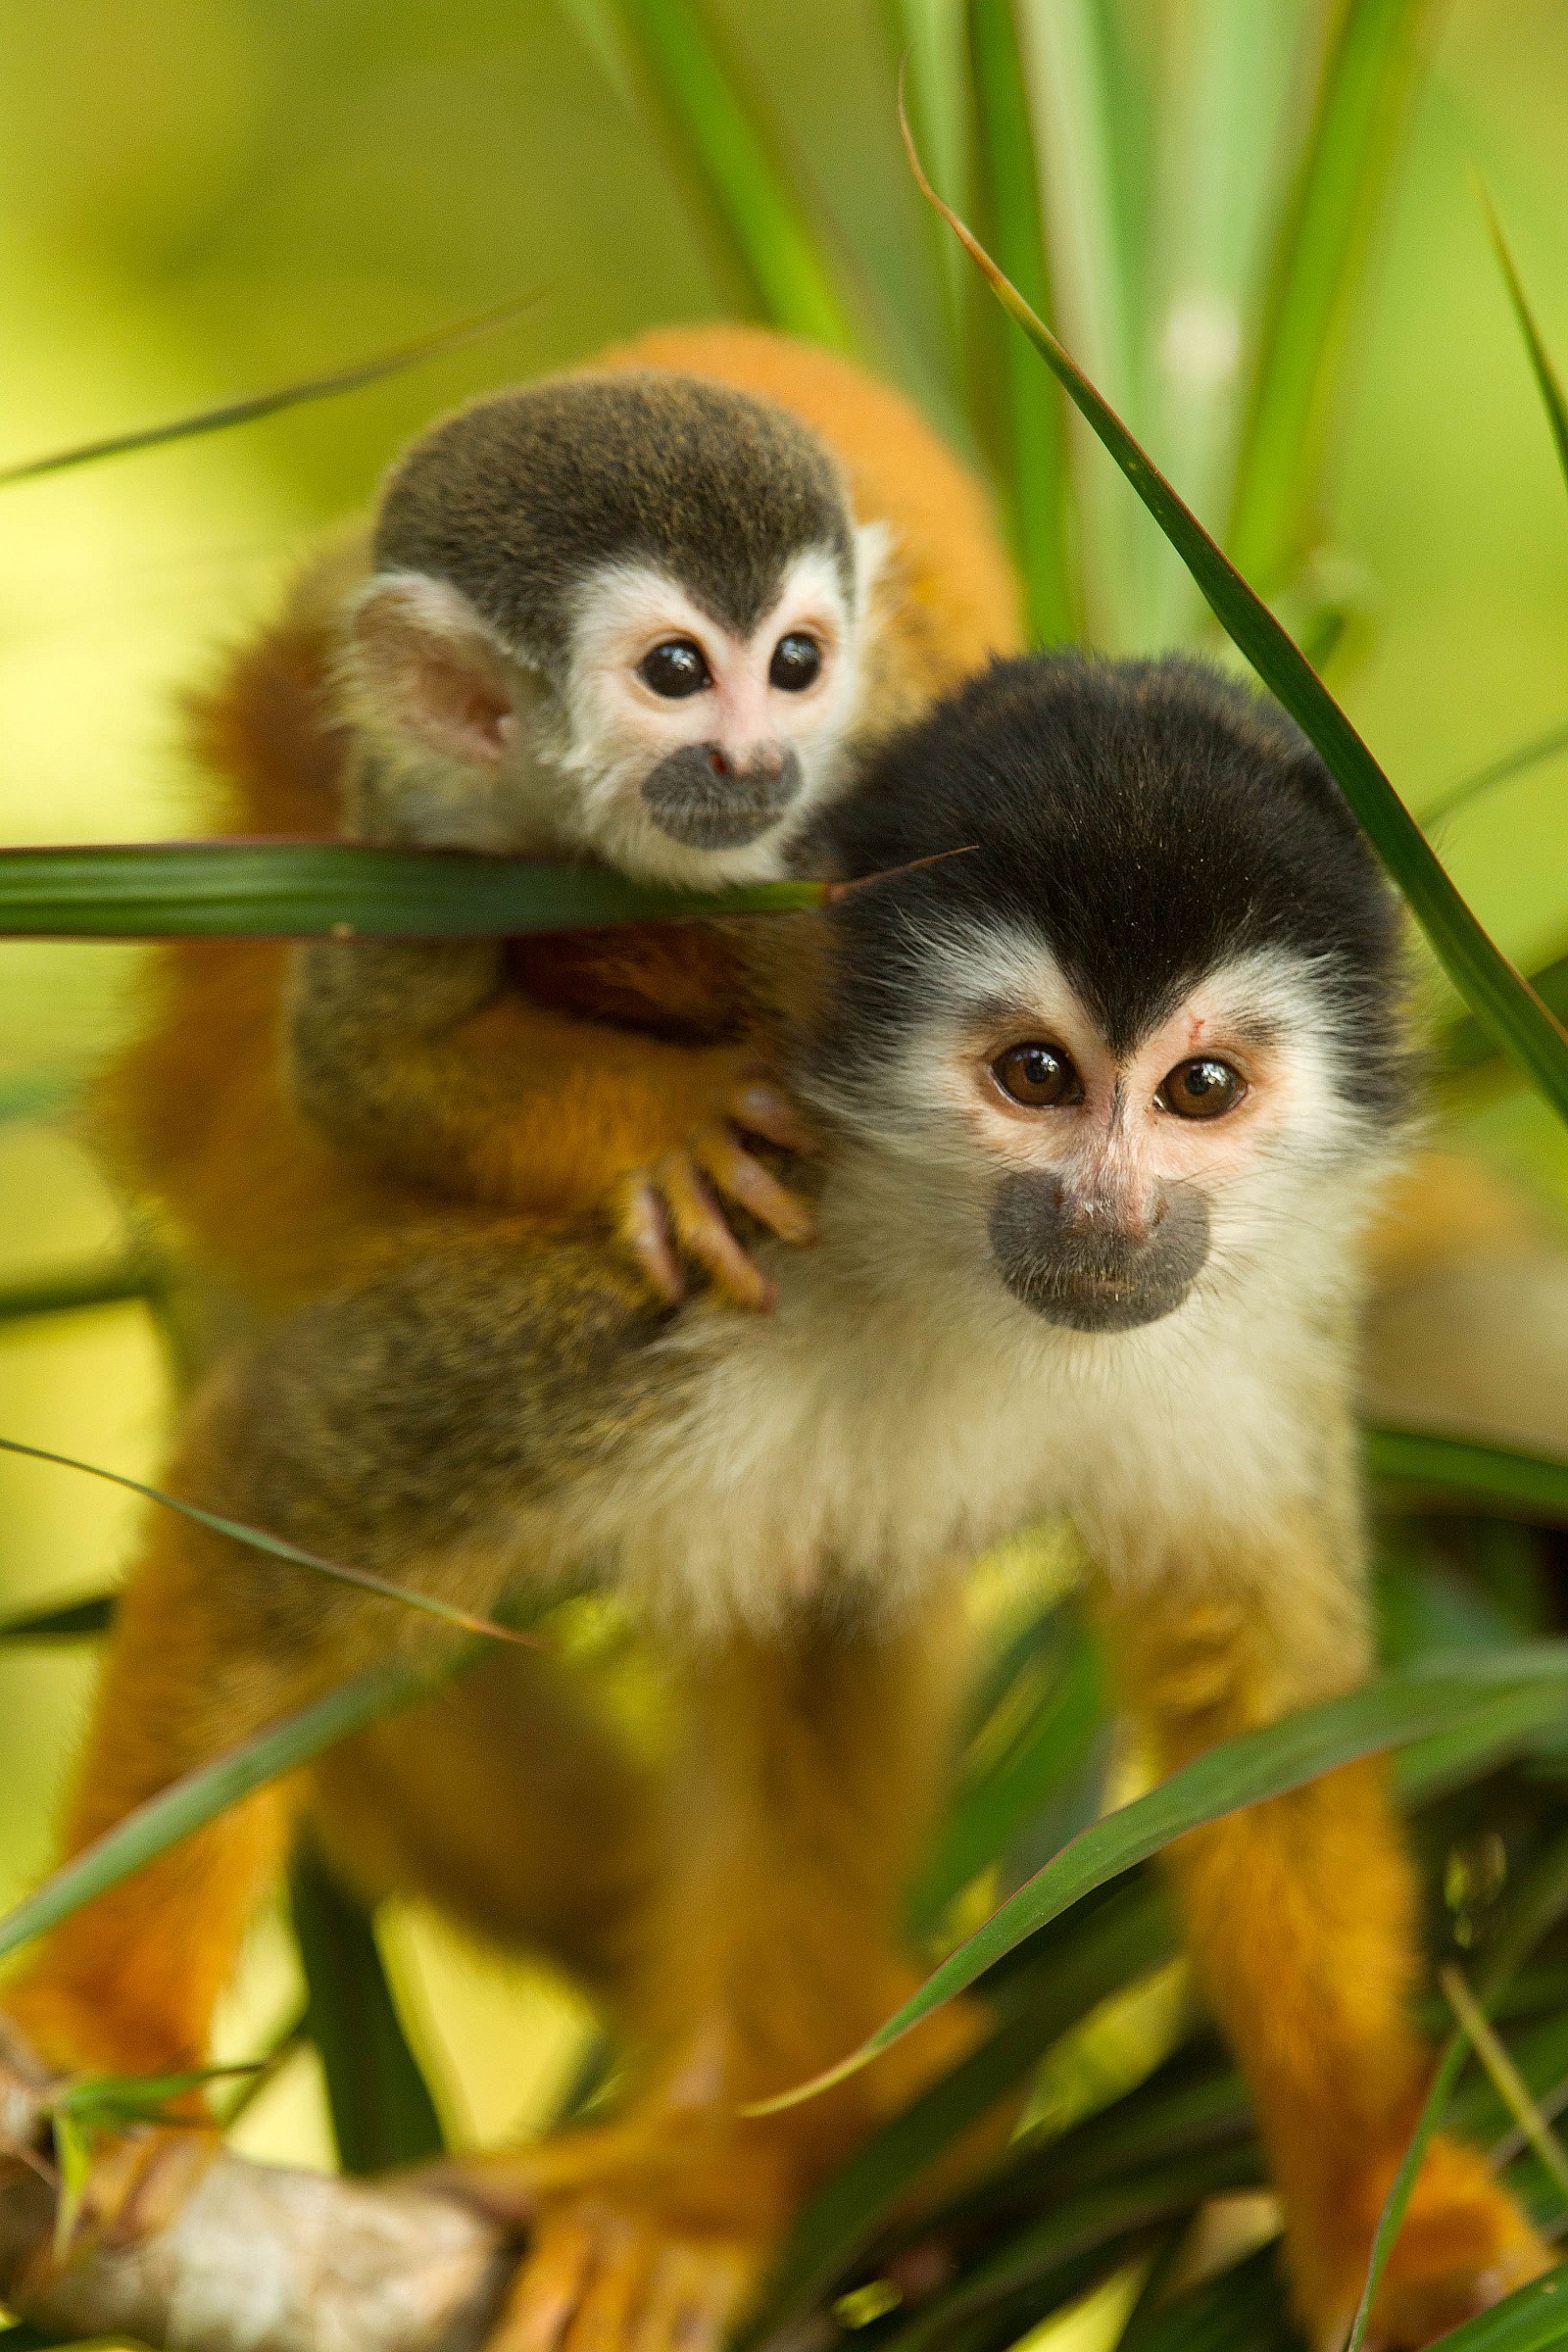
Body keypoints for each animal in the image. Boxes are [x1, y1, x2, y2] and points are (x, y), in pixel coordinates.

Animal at [6, 651, 1552, 2352]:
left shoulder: (1243, 1343)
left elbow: (1260, 1715)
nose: (1109, 1215)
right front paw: (105, 2048)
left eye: (1201, 1089)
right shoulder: (675, 1257)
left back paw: (728, 2161)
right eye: (1036, 1075)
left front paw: (1383, 2207)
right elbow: (295, 1491)